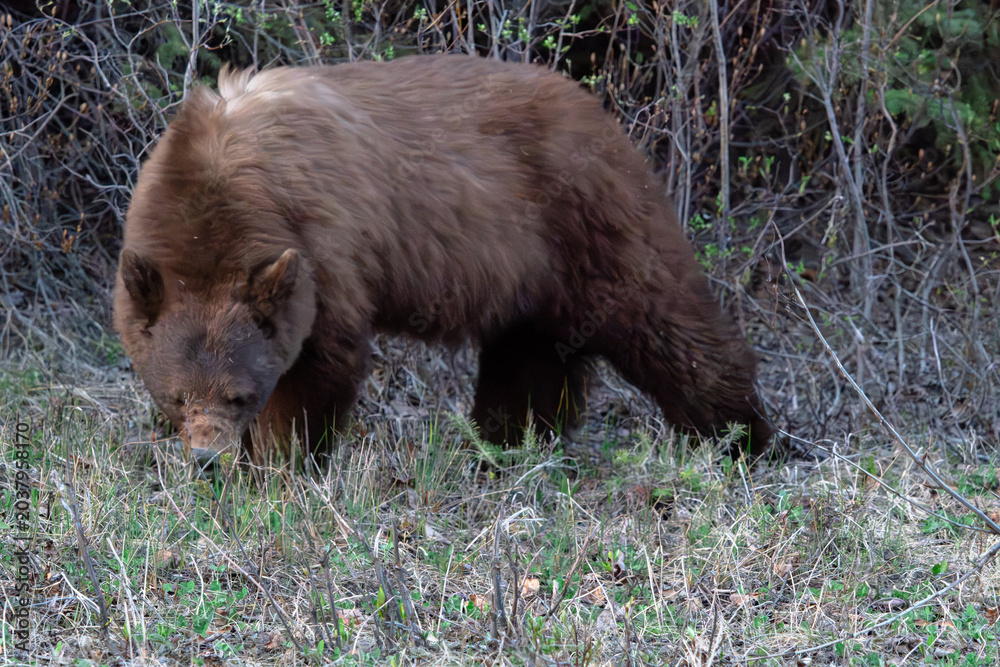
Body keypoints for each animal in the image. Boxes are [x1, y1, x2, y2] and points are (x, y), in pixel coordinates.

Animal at [113, 54, 773, 463]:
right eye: (176, 397)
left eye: (239, 395)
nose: (206, 459)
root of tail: (600, 113)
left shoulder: (326, 249)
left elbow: (318, 362)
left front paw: (280, 464)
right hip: (530, 276)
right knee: (528, 360)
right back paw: (508, 445)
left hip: (592, 224)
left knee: (666, 323)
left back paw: (742, 438)